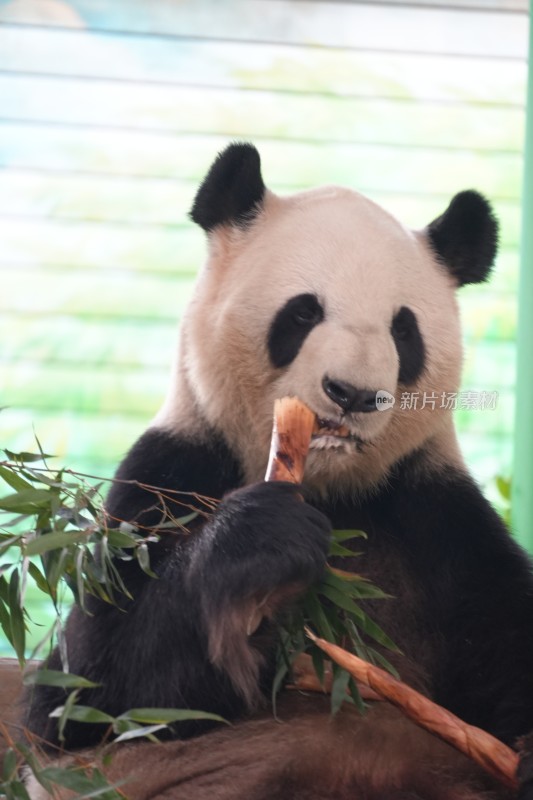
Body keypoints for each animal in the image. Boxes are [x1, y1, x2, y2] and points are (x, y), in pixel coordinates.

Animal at [25, 144, 533, 800]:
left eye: (403, 329)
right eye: (303, 313)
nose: (353, 393)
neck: (330, 492)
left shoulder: (434, 514)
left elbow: (506, 644)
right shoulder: (169, 478)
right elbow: (85, 697)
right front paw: (262, 543)